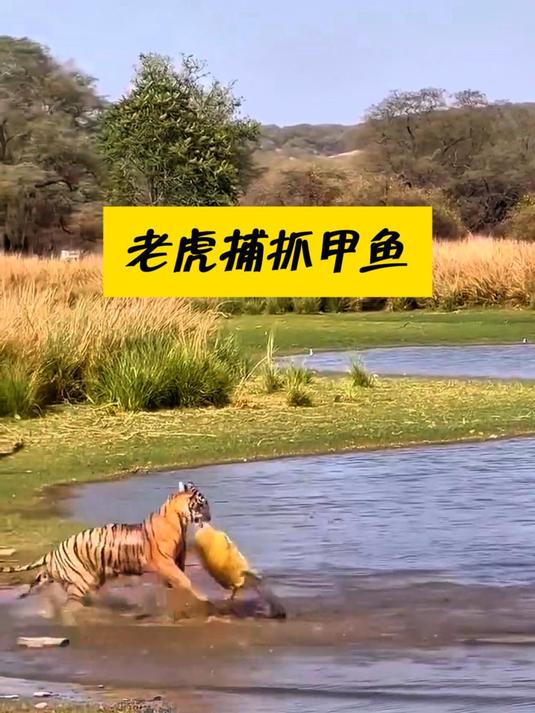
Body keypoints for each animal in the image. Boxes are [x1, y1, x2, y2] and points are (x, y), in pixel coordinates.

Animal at [0, 481, 212, 615]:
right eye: (202, 504)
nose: (210, 517)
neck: (179, 520)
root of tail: (52, 552)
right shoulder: (164, 562)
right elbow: (185, 580)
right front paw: (204, 598)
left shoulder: (177, 560)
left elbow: (176, 582)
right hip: (81, 582)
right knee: (72, 604)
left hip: (88, 579)